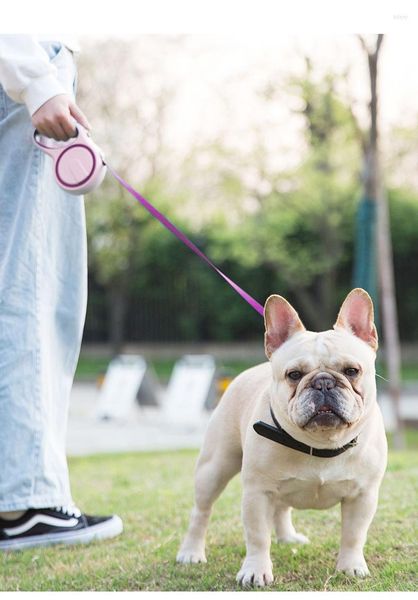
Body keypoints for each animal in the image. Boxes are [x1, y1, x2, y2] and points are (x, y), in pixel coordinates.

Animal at [176, 290, 386, 584]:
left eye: (352, 371)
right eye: (294, 375)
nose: (323, 382)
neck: (320, 445)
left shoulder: (363, 496)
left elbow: (354, 535)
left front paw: (351, 567)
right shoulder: (257, 493)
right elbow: (257, 536)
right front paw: (255, 570)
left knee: (282, 507)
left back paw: (288, 538)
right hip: (214, 468)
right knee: (201, 511)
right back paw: (191, 552)